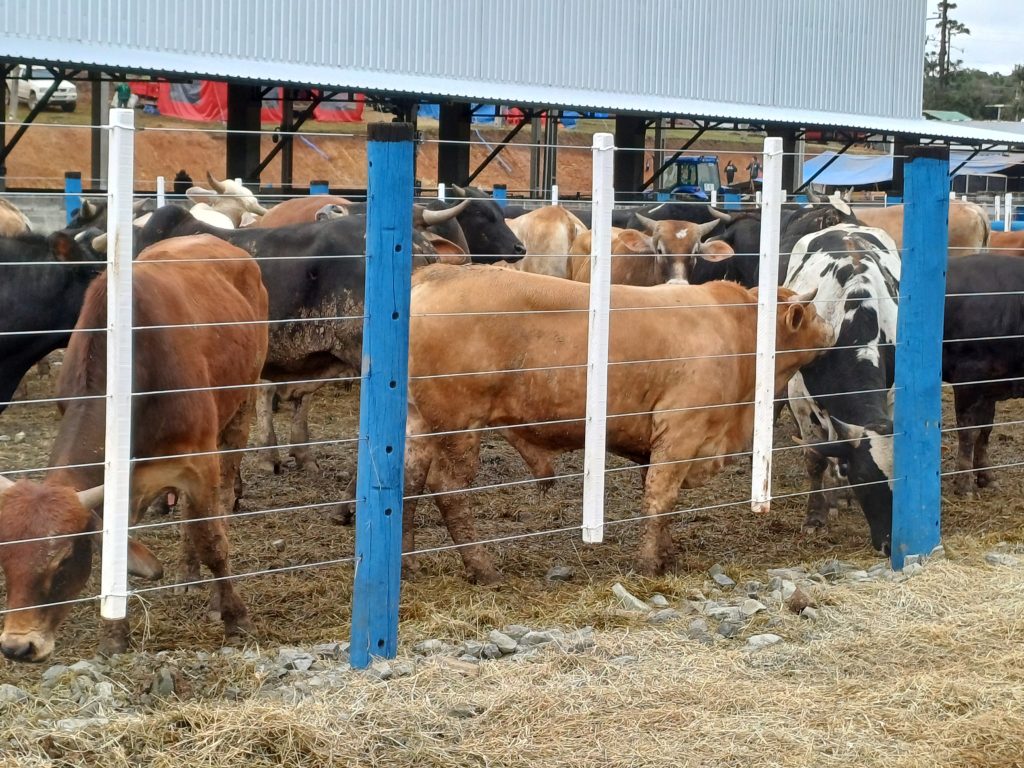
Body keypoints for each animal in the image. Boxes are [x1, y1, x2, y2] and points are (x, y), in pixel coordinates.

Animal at [402, 265, 833, 584]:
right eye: (811, 313)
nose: (831, 329)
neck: (738, 328)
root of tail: (434, 274)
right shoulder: (682, 429)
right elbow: (660, 496)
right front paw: (648, 564)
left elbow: (656, 498)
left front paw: (667, 555)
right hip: (459, 427)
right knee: (449, 491)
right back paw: (483, 568)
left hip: (416, 425)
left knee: (408, 484)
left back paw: (408, 563)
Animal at [941, 253, 1024, 496]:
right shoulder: (968, 379)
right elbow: (968, 431)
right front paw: (964, 484)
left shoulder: (991, 386)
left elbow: (985, 431)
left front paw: (987, 476)